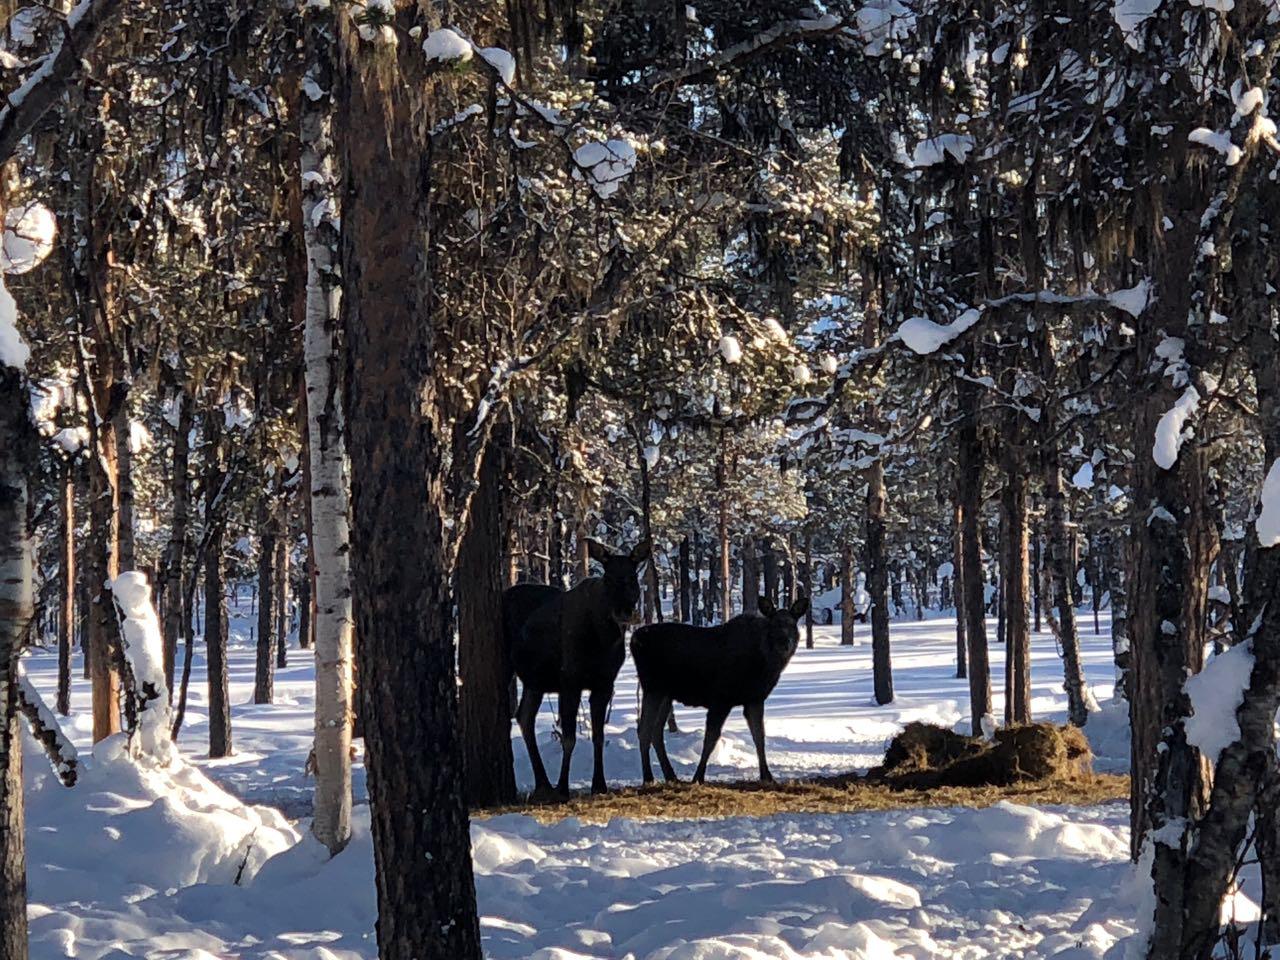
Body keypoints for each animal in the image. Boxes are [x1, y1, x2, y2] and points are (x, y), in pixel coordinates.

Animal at [502, 538, 650, 798]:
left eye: (633, 577)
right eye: (608, 578)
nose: (624, 611)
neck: (603, 639)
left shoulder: (605, 683)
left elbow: (598, 736)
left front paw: (599, 784)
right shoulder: (570, 680)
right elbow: (569, 738)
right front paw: (563, 787)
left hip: (535, 681)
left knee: (524, 716)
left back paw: (543, 782)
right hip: (508, 665)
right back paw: (547, 783)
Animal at [630, 594, 809, 786]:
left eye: (792, 624)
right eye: (773, 625)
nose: (784, 643)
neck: (766, 666)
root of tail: (633, 640)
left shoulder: (754, 699)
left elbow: (759, 737)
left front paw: (767, 777)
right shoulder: (721, 699)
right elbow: (711, 738)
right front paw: (698, 777)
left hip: (666, 693)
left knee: (656, 732)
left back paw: (671, 776)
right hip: (653, 687)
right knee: (644, 730)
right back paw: (649, 778)